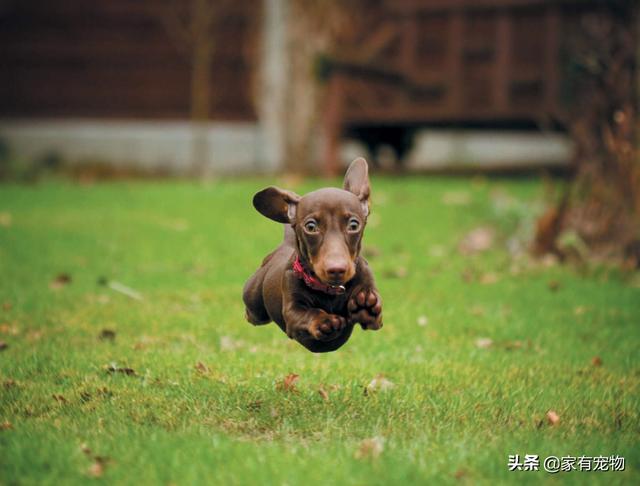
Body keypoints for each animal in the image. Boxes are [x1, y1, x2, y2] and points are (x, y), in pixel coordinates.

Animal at [240, 158, 380, 352]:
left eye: (353, 225)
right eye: (311, 227)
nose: (337, 269)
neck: (330, 290)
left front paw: (365, 307)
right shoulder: (292, 314)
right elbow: (306, 314)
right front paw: (324, 320)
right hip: (254, 302)